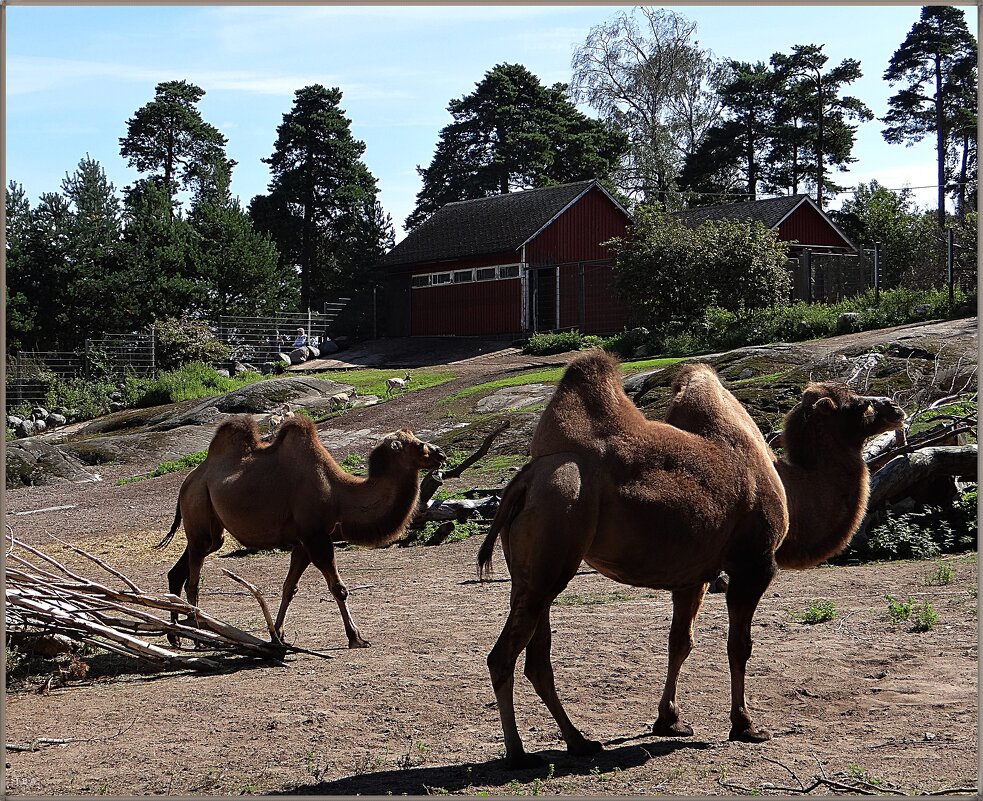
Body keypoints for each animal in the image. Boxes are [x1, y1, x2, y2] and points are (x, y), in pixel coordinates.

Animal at [157, 416, 446, 648]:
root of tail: (189, 480)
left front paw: (278, 636)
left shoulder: (303, 542)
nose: (441, 454)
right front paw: (356, 637)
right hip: (199, 509)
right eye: (417, 445)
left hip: (207, 531)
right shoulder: (315, 536)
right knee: (194, 581)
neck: (339, 495)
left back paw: (176, 635)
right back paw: (197, 638)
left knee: (180, 571)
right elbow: (338, 588)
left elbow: (289, 588)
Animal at [480, 354, 904, 764]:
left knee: (537, 658)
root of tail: (526, 477)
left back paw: (579, 741)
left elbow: (680, 642)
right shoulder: (754, 564)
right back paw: (518, 754)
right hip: (555, 533)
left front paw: (670, 720)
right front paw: (746, 725)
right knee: (503, 656)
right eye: (859, 404)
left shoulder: (694, 576)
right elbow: (739, 645)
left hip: (534, 571)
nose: (895, 408)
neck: (790, 486)